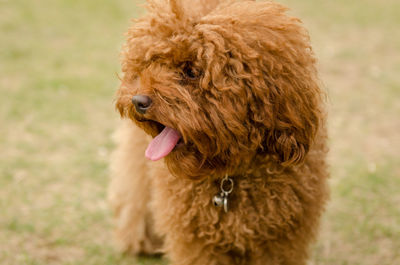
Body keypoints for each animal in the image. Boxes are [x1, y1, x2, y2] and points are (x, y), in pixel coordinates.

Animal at [108, 1, 328, 262]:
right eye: (150, 63)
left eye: (191, 71)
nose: (138, 100)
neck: (229, 175)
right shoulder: (198, 240)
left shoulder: (279, 239)